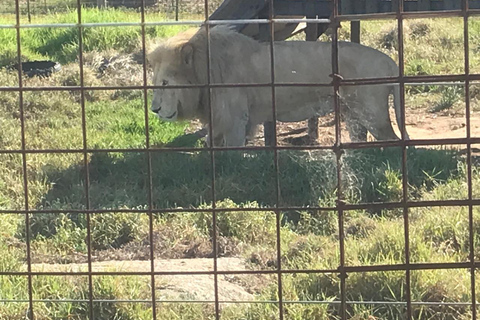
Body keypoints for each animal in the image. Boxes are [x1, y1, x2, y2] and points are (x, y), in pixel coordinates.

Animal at [147, 26, 408, 146]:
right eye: (155, 83)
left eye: (165, 83)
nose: (154, 109)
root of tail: (390, 61)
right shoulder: (226, 118)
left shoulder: (233, 117)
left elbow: (231, 150)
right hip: (352, 113)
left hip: (373, 113)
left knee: (391, 140)